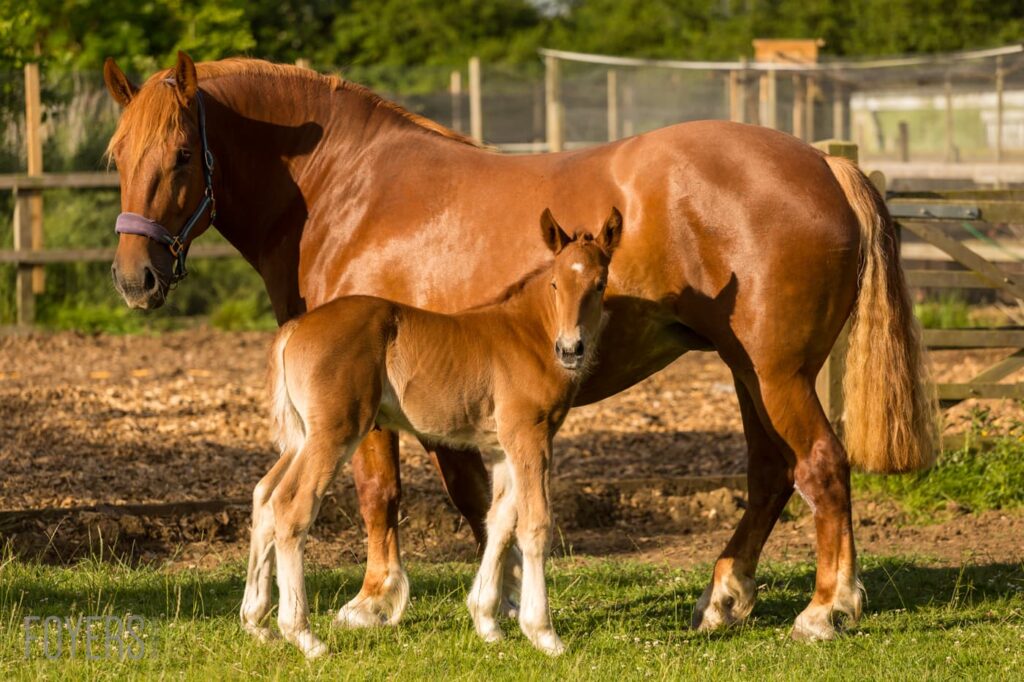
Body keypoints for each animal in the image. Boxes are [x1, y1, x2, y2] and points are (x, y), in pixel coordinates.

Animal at [246, 209, 621, 657]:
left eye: (599, 284)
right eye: (555, 284)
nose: (570, 349)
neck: (528, 334)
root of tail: (294, 328)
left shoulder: (504, 447)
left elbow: (498, 520)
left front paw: (486, 622)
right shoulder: (530, 436)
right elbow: (535, 525)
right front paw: (543, 633)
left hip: (303, 436)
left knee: (264, 495)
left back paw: (257, 622)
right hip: (335, 433)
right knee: (291, 506)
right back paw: (303, 635)